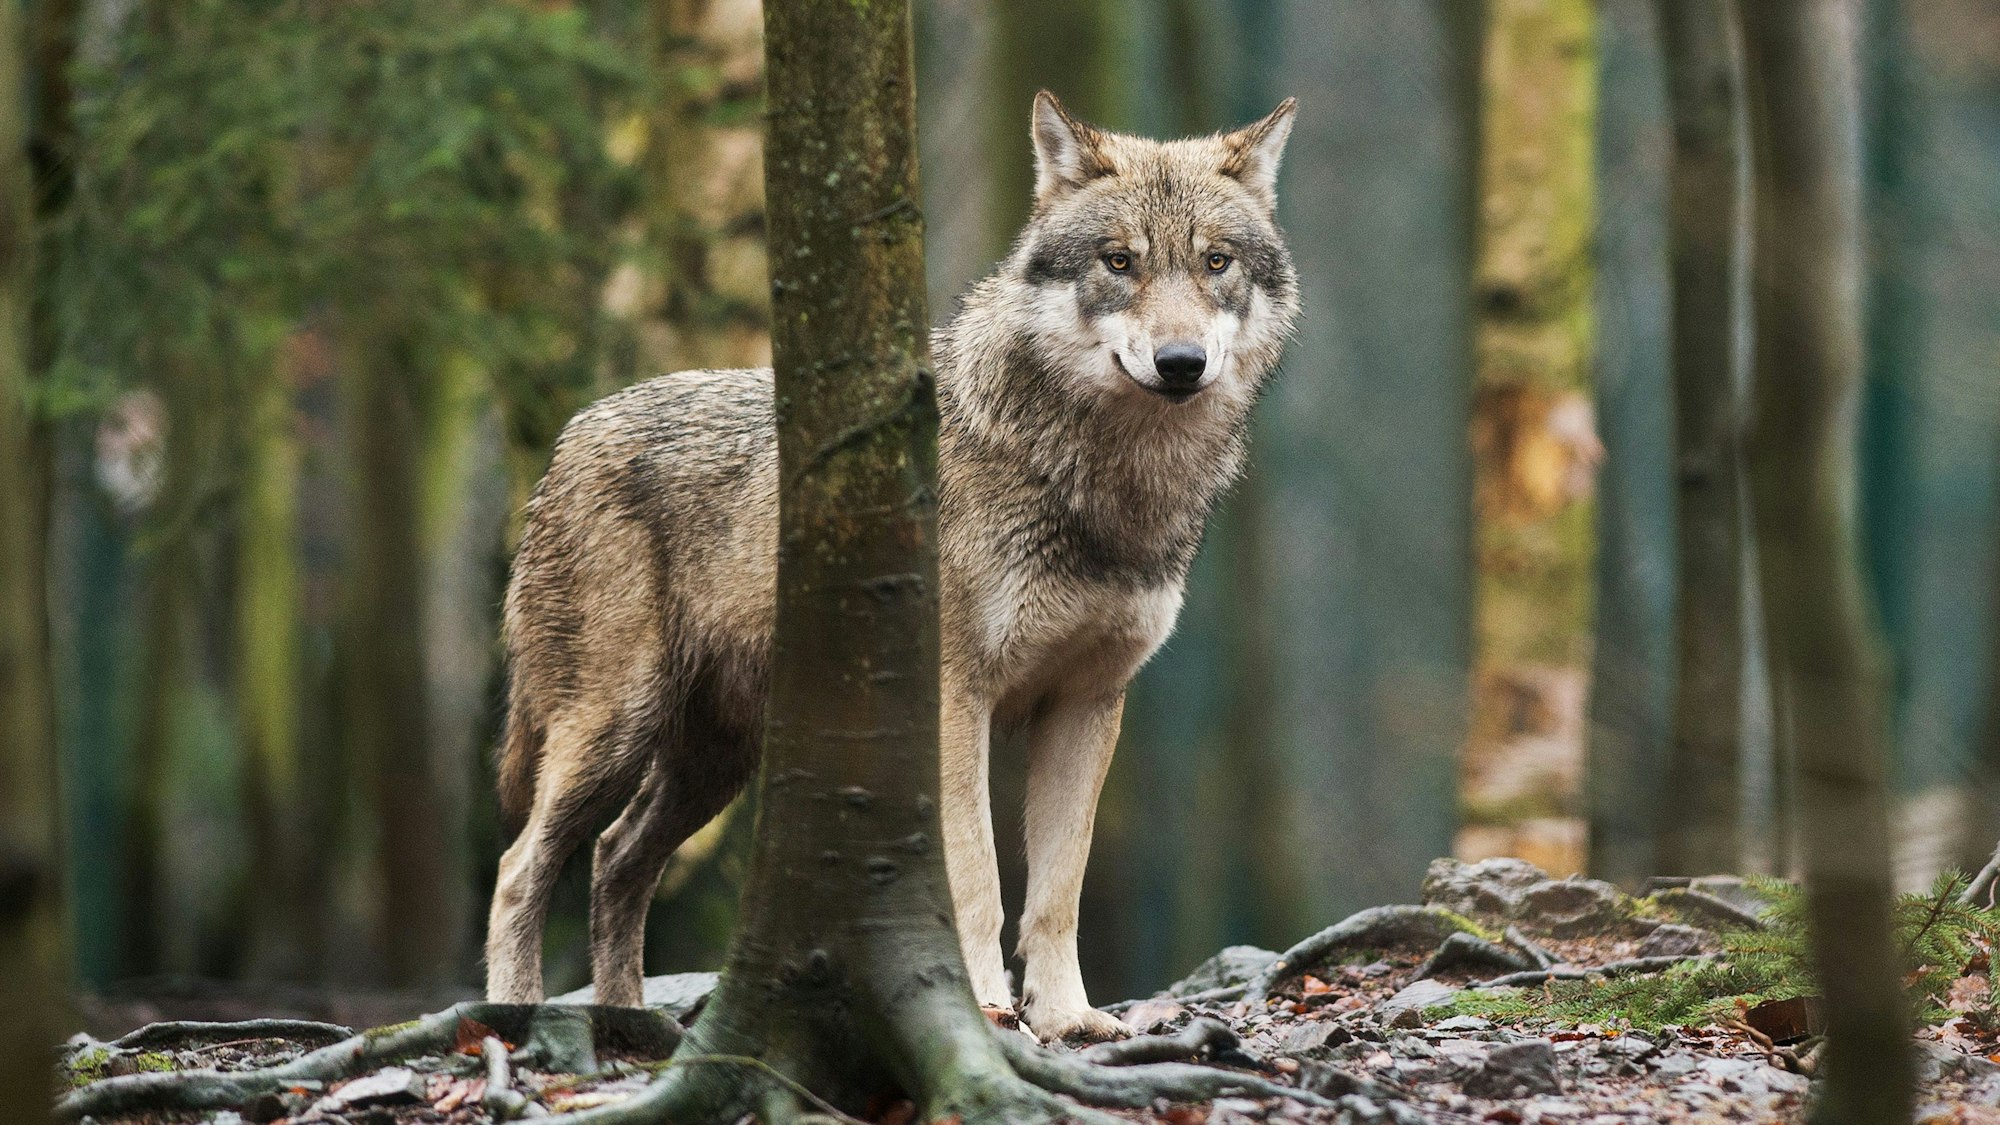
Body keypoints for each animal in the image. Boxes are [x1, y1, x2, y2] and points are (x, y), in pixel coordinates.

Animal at [484, 91, 1300, 1042]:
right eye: (1119, 261)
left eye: (1216, 262)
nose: (1180, 363)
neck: (1102, 485)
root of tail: (569, 437)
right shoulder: (955, 697)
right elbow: (979, 879)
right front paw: (984, 1007)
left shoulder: (1088, 702)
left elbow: (1058, 890)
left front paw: (1069, 1018)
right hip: (615, 730)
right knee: (520, 868)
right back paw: (515, 1018)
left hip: (713, 762)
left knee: (615, 860)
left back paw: (628, 1025)